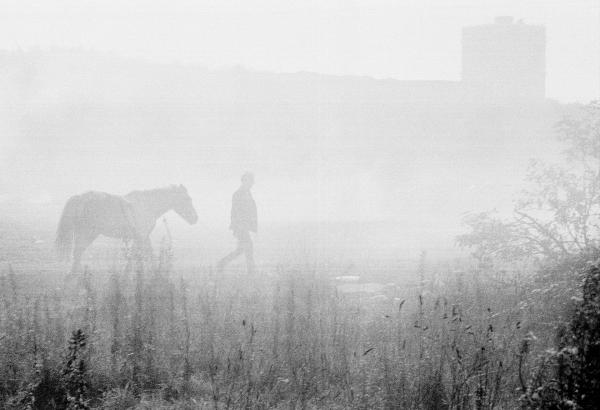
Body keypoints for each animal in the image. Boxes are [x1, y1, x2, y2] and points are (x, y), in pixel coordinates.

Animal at [55, 184, 198, 270]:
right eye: (187, 199)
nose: (195, 219)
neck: (148, 206)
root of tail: (80, 198)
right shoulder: (142, 236)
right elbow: (146, 257)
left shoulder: (141, 237)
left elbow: (136, 258)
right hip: (88, 234)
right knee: (77, 254)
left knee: (77, 255)